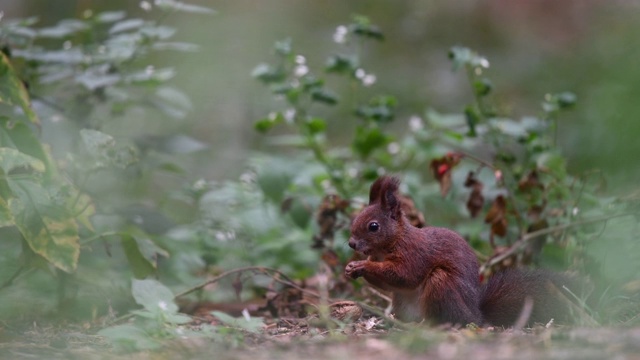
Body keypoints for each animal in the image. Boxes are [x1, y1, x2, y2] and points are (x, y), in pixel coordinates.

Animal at [348, 176, 572, 328]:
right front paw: (351, 268)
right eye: (356, 218)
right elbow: (389, 283)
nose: (351, 243)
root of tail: (477, 317)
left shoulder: (415, 253)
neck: (388, 245)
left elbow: (405, 275)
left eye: (373, 226)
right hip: (402, 302)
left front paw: (363, 265)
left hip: (442, 284)